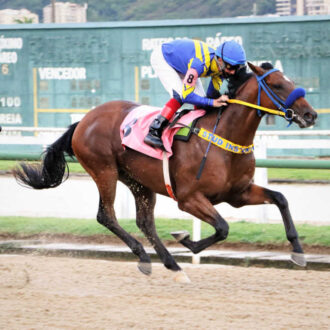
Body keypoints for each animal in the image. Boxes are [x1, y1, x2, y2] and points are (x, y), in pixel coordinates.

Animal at [13, 63, 318, 282]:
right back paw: (146, 258)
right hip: (104, 170)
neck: (224, 137)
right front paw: (187, 240)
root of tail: (83, 120)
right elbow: (222, 227)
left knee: (145, 222)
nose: (311, 115)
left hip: (138, 181)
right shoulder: (189, 198)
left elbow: (280, 198)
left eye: (290, 80)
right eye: (277, 84)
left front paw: (298, 252)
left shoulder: (238, 194)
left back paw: (172, 265)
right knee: (106, 215)